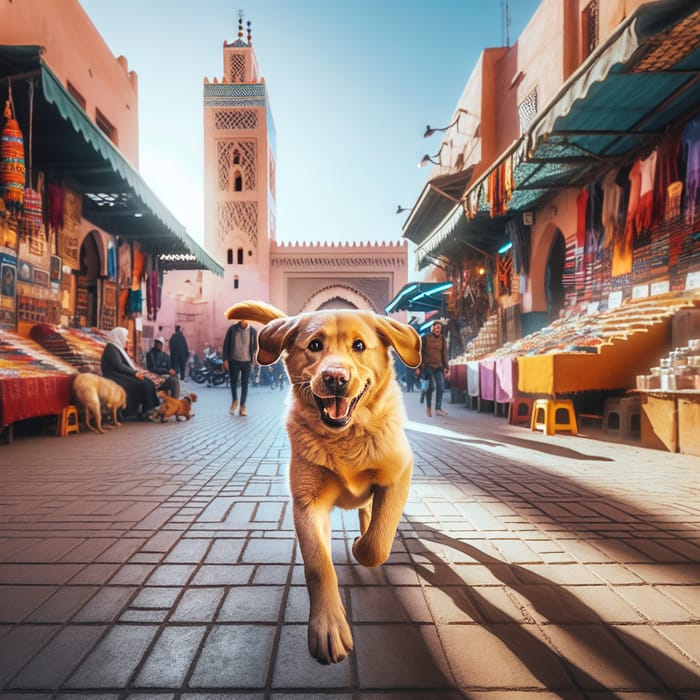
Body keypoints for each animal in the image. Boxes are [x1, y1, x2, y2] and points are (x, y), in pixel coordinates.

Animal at [224, 300, 422, 660]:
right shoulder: (307, 502)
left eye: (359, 346)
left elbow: (376, 544)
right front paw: (327, 626)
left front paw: (360, 544)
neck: (345, 438)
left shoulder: (398, 475)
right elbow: (318, 565)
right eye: (315, 345)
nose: (335, 378)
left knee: (370, 515)